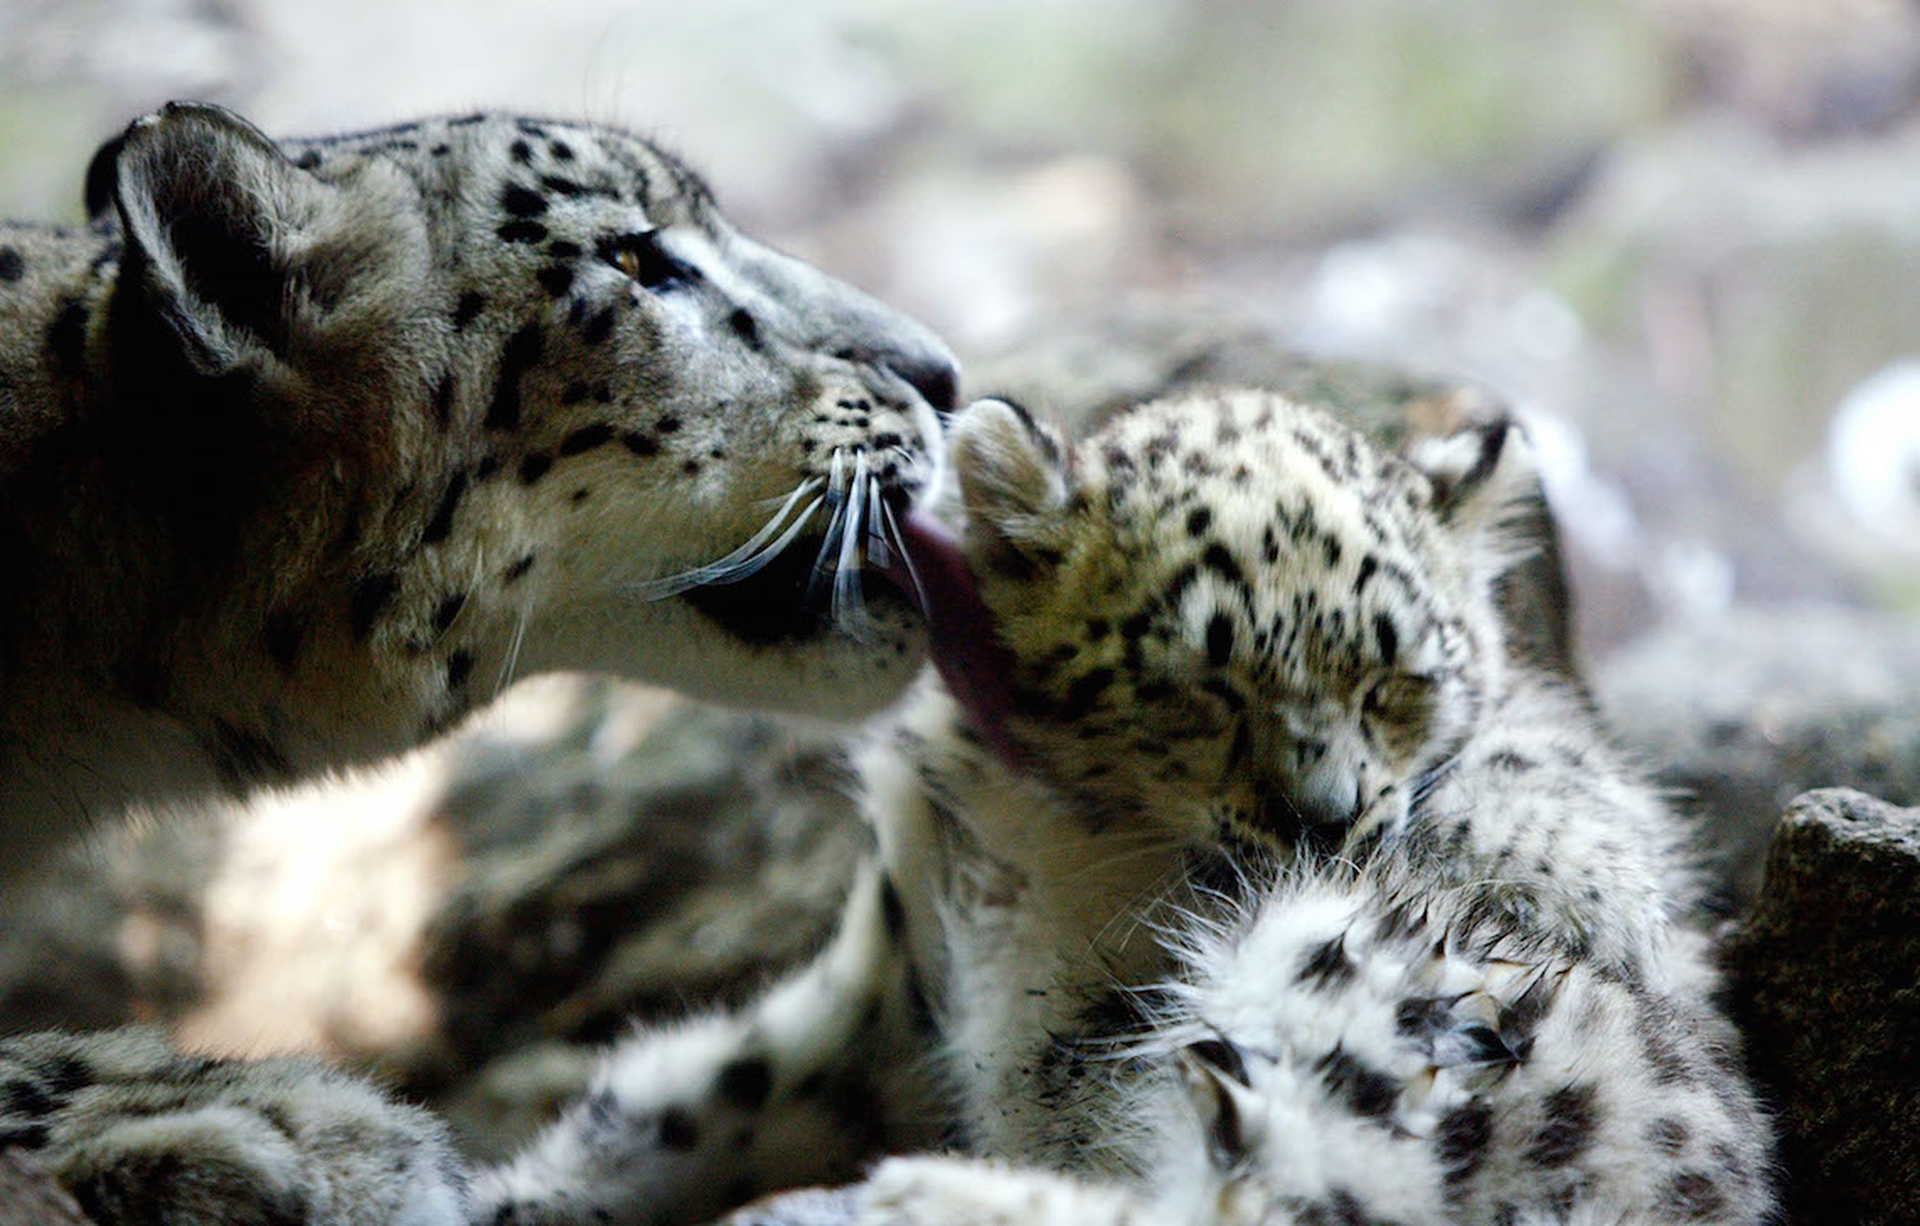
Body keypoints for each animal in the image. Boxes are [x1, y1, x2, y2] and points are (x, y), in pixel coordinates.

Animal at [471, 390, 1775, 1226]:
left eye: (1394, 677)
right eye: (1203, 684)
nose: (1326, 814)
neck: (1051, 844)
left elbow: (1541, 778)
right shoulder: (893, 986)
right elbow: (708, 1091)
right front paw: (522, 1189)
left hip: (1335, 981)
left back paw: (933, 1193)